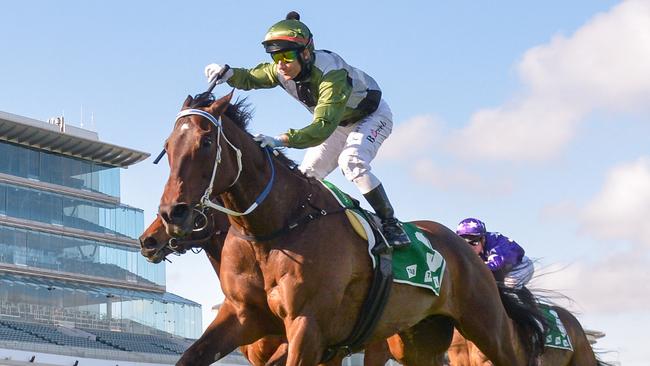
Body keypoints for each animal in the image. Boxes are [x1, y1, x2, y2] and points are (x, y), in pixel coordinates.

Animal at [154, 93, 544, 366]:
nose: (172, 213)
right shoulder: (242, 316)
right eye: (167, 146)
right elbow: (190, 356)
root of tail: (464, 248)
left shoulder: (308, 328)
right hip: (421, 338)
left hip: (486, 324)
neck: (276, 227)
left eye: (206, 142)